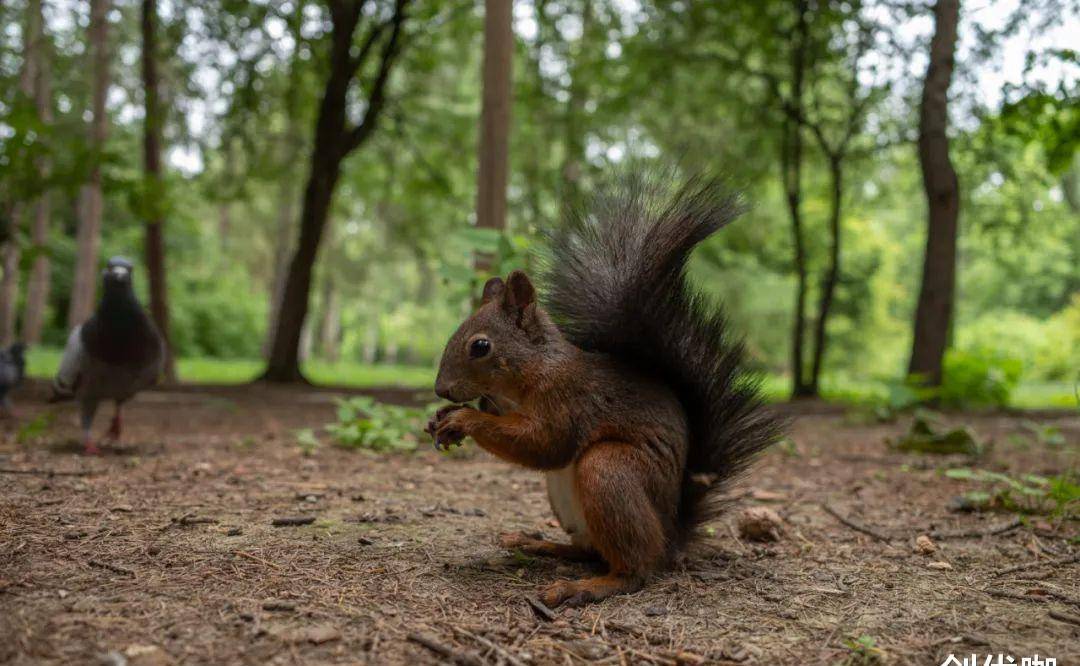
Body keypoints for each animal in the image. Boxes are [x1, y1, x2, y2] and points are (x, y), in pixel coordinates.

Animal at [425, 173, 781, 604]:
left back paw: (585, 586)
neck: (535, 369)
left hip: (609, 470)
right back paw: (537, 543)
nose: (441, 390)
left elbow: (545, 444)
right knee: (587, 549)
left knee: (635, 567)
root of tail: (672, 535)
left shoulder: (569, 400)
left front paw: (463, 418)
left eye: (480, 346)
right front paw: (440, 419)